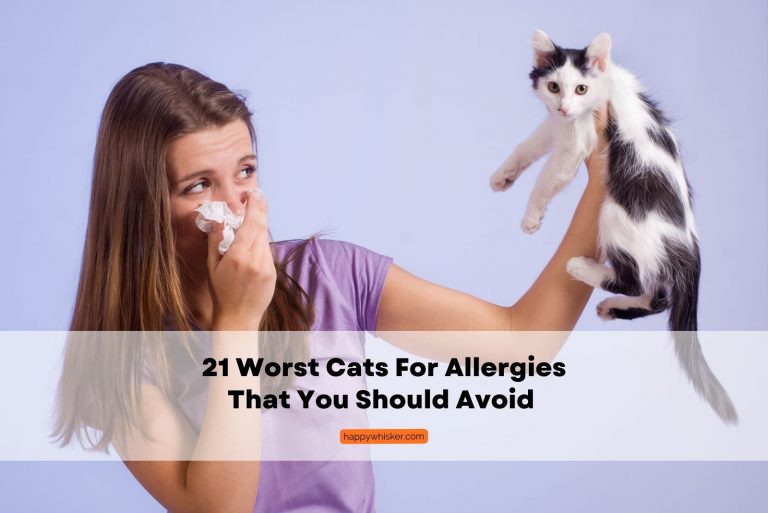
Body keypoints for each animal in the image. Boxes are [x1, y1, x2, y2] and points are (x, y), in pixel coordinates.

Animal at [492, 29, 736, 424]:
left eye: (581, 89)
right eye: (554, 86)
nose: (564, 106)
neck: (604, 89)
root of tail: (690, 247)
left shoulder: (577, 140)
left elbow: (546, 178)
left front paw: (531, 216)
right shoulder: (560, 126)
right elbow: (530, 143)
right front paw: (503, 176)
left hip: (616, 213)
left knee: (633, 279)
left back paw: (581, 268)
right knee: (659, 295)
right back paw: (613, 307)